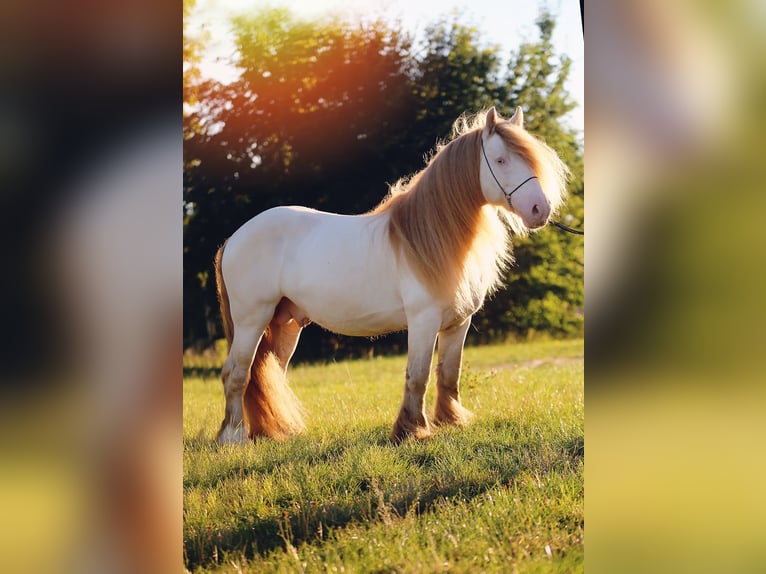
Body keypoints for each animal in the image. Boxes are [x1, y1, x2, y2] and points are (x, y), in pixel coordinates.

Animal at [214, 109, 568, 450]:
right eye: (501, 160)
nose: (540, 209)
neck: (430, 236)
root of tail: (234, 238)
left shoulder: (458, 324)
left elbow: (448, 374)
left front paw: (450, 421)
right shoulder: (424, 321)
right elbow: (418, 376)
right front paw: (411, 431)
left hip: (286, 324)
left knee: (271, 374)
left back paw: (277, 431)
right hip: (252, 320)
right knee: (236, 373)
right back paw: (234, 437)